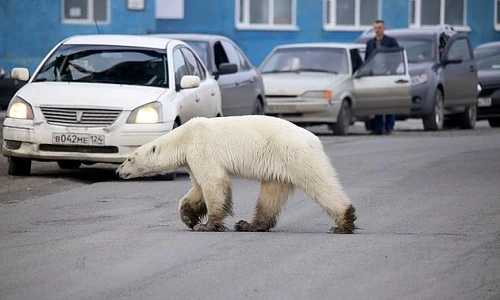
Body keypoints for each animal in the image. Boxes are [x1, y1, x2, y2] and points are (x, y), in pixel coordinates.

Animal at [115, 115, 358, 234]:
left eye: (129, 158)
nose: (118, 171)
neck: (184, 137)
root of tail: (314, 139)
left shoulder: (201, 147)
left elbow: (213, 182)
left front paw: (207, 225)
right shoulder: (192, 159)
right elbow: (198, 188)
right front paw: (189, 217)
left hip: (295, 154)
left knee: (319, 183)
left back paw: (343, 222)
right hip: (279, 167)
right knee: (271, 195)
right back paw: (249, 225)